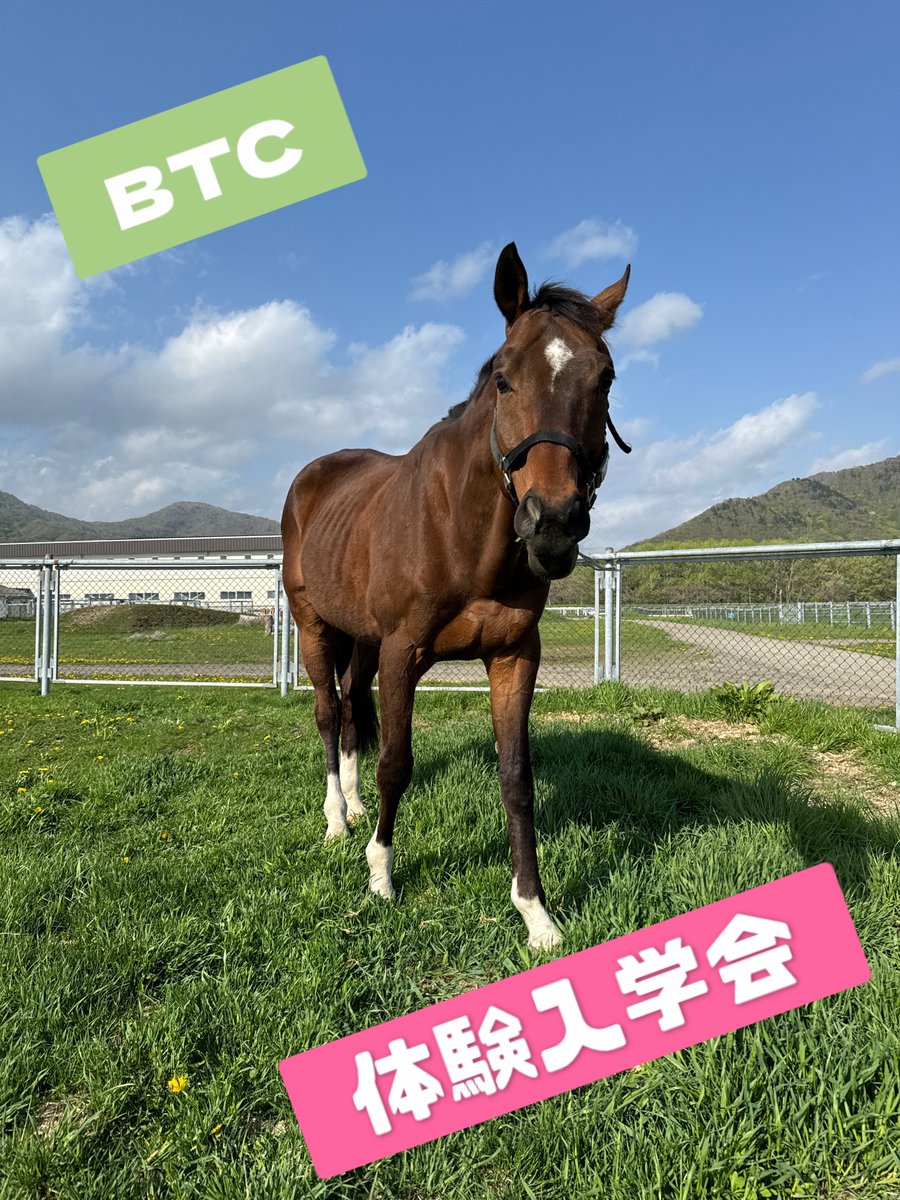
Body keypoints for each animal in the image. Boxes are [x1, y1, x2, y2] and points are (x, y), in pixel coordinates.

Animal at [281, 243, 631, 949]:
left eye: (604, 379)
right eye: (503, 378)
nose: (553, 523)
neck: (464, 536)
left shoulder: (514, 656)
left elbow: (516, 778)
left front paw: (535, 912)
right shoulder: (403, 654)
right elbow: (396, 762)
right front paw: (381, 876)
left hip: (361, 638)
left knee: (352, 711)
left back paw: (354, 807)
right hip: (314, 626)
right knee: (330, 715)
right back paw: (336, 819)